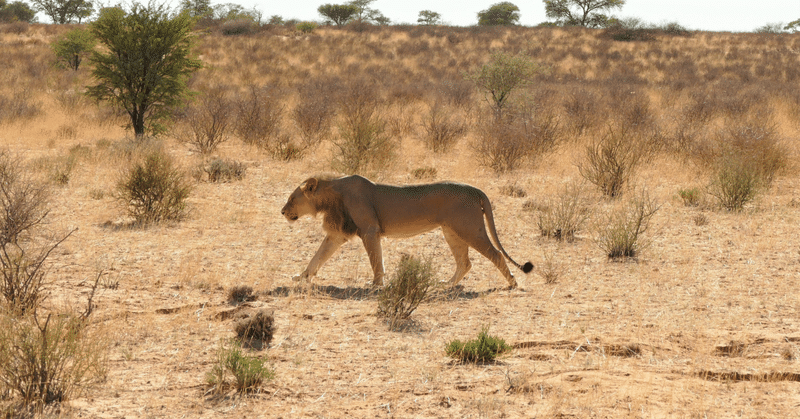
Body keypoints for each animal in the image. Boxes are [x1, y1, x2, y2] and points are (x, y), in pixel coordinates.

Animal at [280, 176, 532, 290]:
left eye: (292, 199)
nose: (282, 211)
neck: (331, 195)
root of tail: (476, 189)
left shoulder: (370, 231)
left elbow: (376, 260)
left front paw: (376, 284)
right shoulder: (337, 234)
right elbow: (317, 257)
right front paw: (301, 276)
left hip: (470, 229)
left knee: (495, 254)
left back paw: (512, 283)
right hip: (451, 231)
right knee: (465, 262)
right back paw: (447, 284)